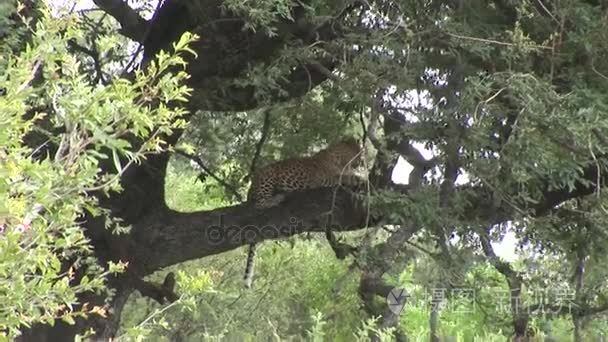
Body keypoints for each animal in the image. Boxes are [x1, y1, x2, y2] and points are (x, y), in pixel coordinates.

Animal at [243, 138, 366, 288]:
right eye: (361, 152)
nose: (363, 162)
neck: (339, 158)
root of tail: (251, 187)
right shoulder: (326, 179)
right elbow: (345, 177)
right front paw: (361, 179)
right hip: (268, 176)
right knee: (259, 204)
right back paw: (277, 198)